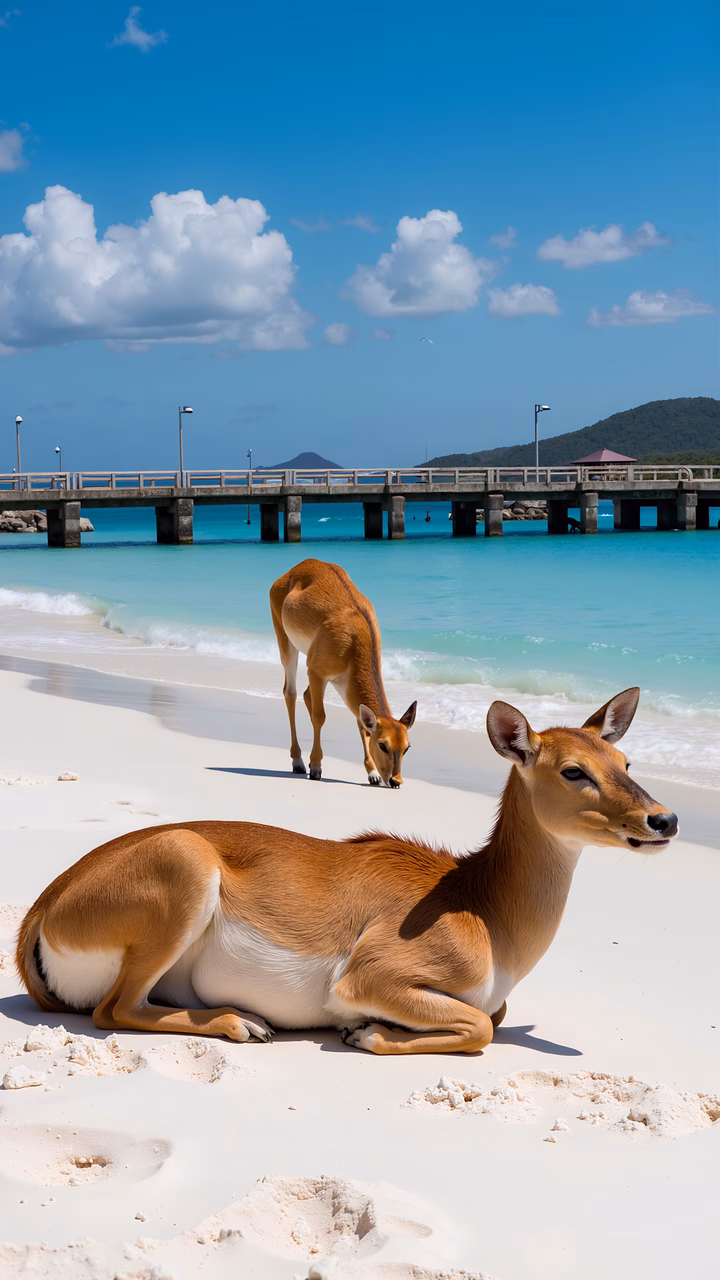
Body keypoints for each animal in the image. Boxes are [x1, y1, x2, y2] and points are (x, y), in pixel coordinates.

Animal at [16, 688, 678, 1056]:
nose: (664, 820)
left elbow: (494, 1017)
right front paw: (366, 1034)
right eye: (573, 770)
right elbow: (481, 1028)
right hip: (184, 869)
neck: (483, 908)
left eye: (623, 760)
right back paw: (244, 1023)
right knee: (116, 1010)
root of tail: (45, 907)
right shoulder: (368, 978)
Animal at [269, 558, 417, 786]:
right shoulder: (316, 671)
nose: (395, 780)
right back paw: (298, 761)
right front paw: (316, 767)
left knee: (305, 694)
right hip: (285, 641)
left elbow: (362, 724)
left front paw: (372, 773)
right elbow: (320, 716)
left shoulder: (343, 683)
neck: (354, 642)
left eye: (407, 747)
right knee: (290, 692)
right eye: (383, 745)